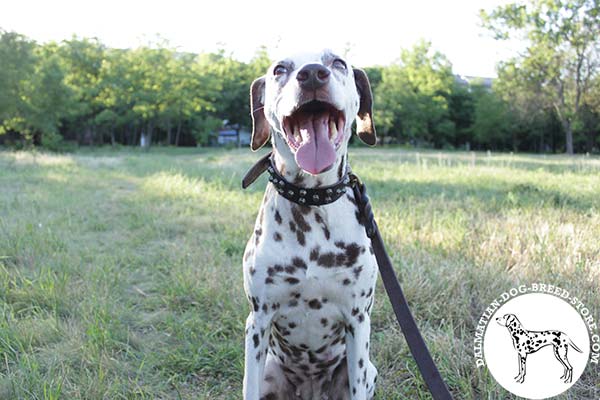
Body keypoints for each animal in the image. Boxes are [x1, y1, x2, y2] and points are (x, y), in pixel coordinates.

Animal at [241, 50, 378, 400]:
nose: (313, 74)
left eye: (338, 63)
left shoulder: (358, 321)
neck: (311, 200)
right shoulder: (257, 322)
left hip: (368, 369)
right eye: (279, 69)